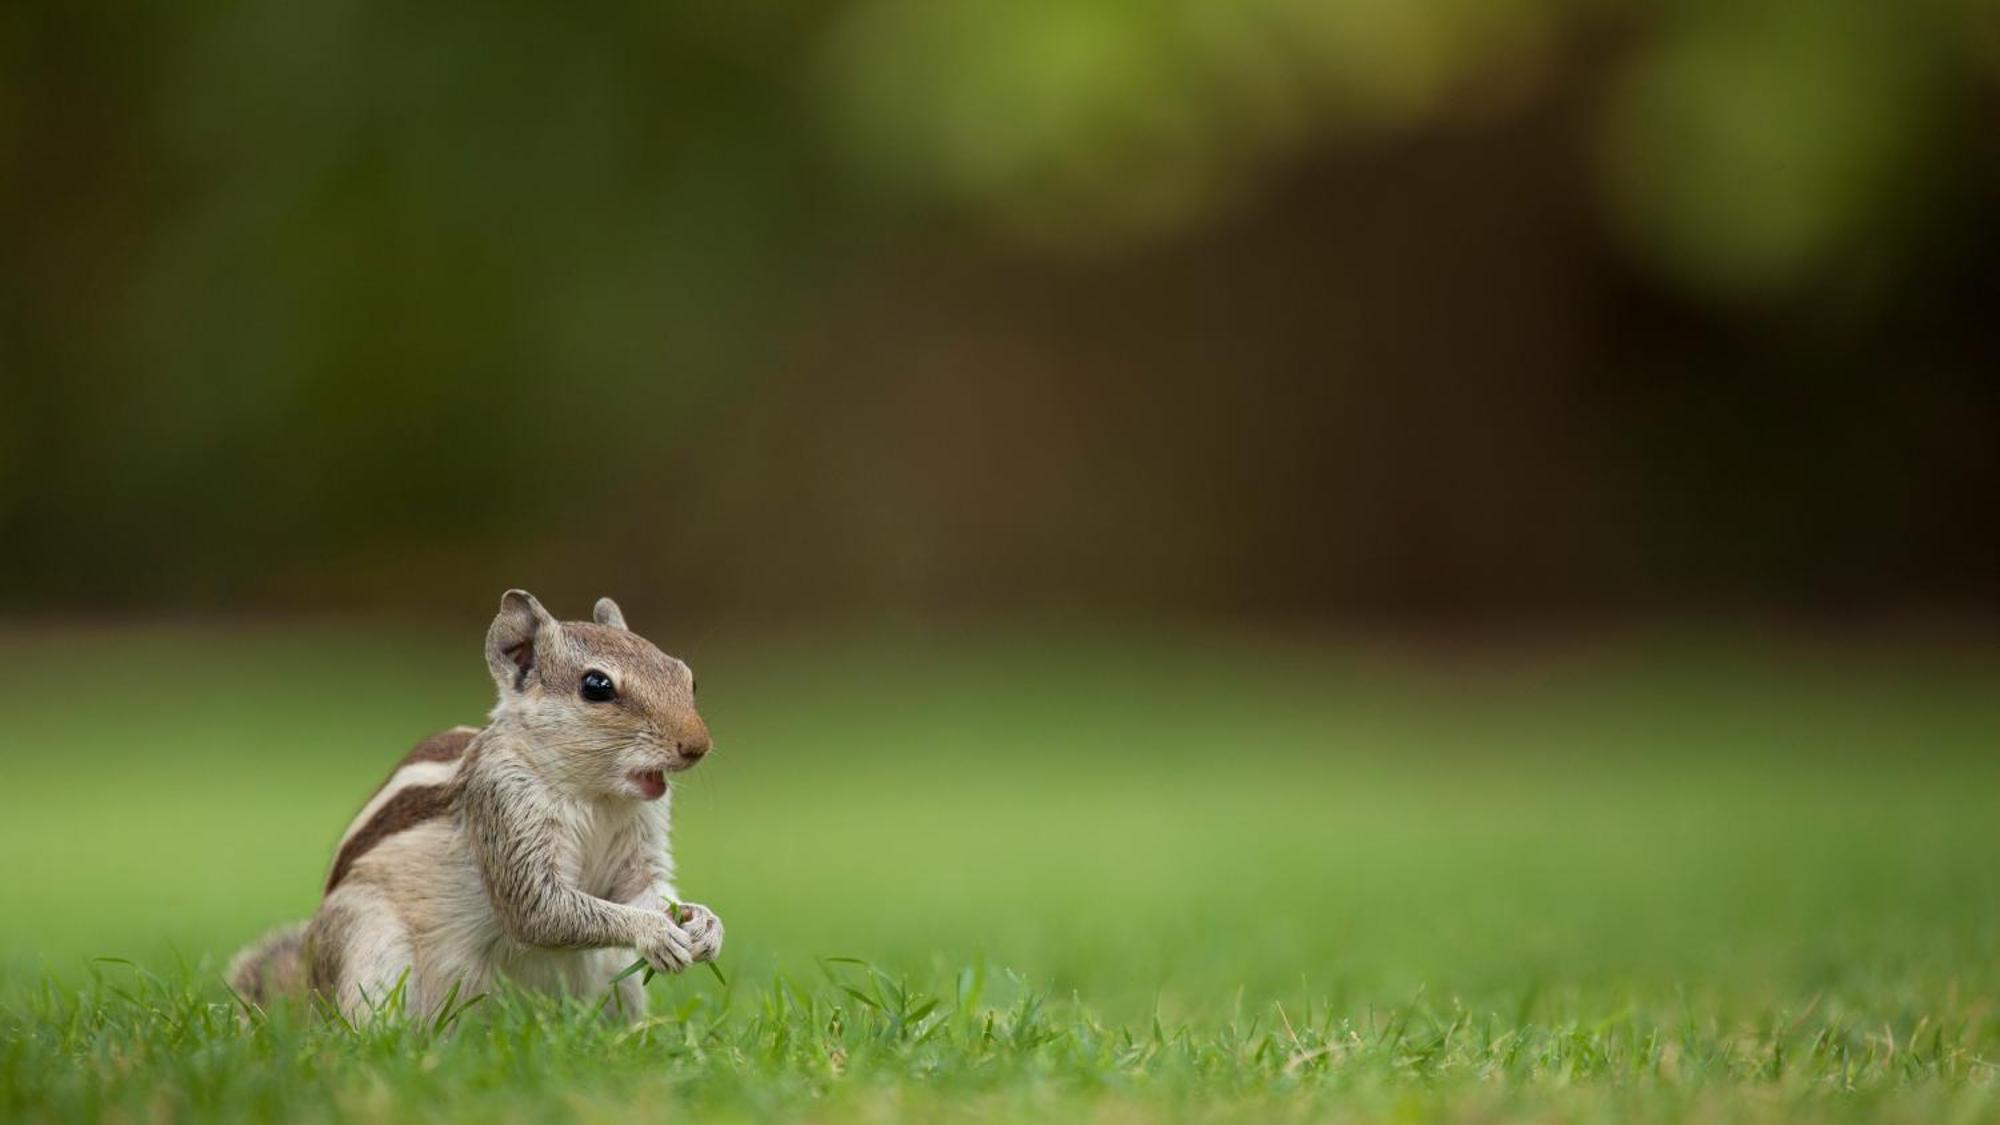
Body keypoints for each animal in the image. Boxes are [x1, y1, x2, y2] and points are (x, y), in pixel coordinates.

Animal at [229, 592, 728, 1020]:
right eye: (596, 686)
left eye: (688, 677)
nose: (698, 746)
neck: (595, 796)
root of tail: (309, 990)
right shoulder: (503, 807)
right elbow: (540, 909)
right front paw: (654, 931)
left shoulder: (639, 841)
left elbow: (642, 888)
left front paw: (705, 923)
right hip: (367, 941)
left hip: (612, 975)